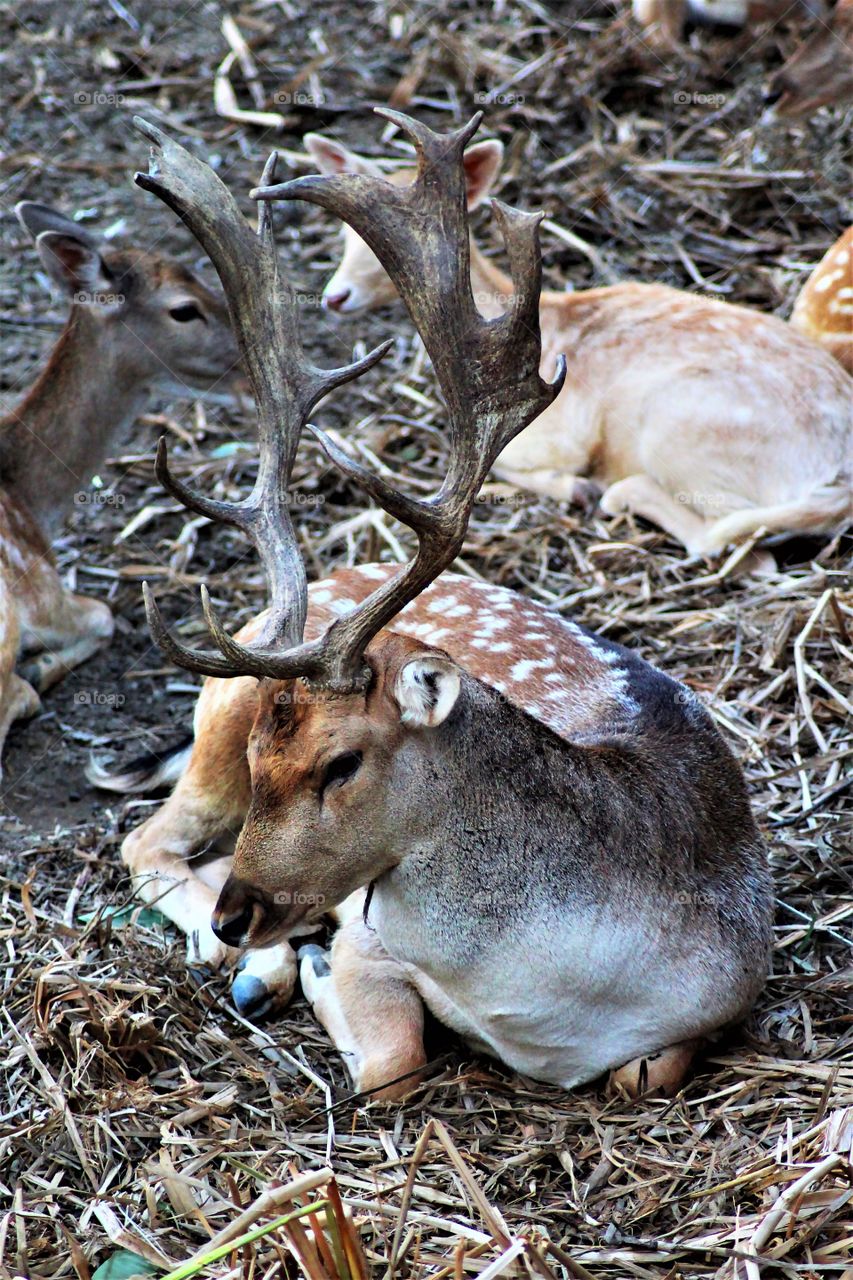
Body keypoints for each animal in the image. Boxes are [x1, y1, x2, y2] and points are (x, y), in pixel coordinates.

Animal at [111, 109, 773, 1104]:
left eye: (341, 763)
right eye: (270, 755)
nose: (238, 918)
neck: (548, 1008)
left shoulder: (722, 998)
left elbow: (640, 1074)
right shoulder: (367, 930)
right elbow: (393, 1061)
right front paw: (309, 974)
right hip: (213, 736)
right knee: (145, 838)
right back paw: (255, 965)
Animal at [303, 131, 853, 560]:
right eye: (343, 235)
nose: (334, 295)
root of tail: (836, 476)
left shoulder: (562, 430)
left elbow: (513, 460)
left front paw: (576, 487)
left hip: (677, 429)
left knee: (730, 541)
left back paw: (611, 492)